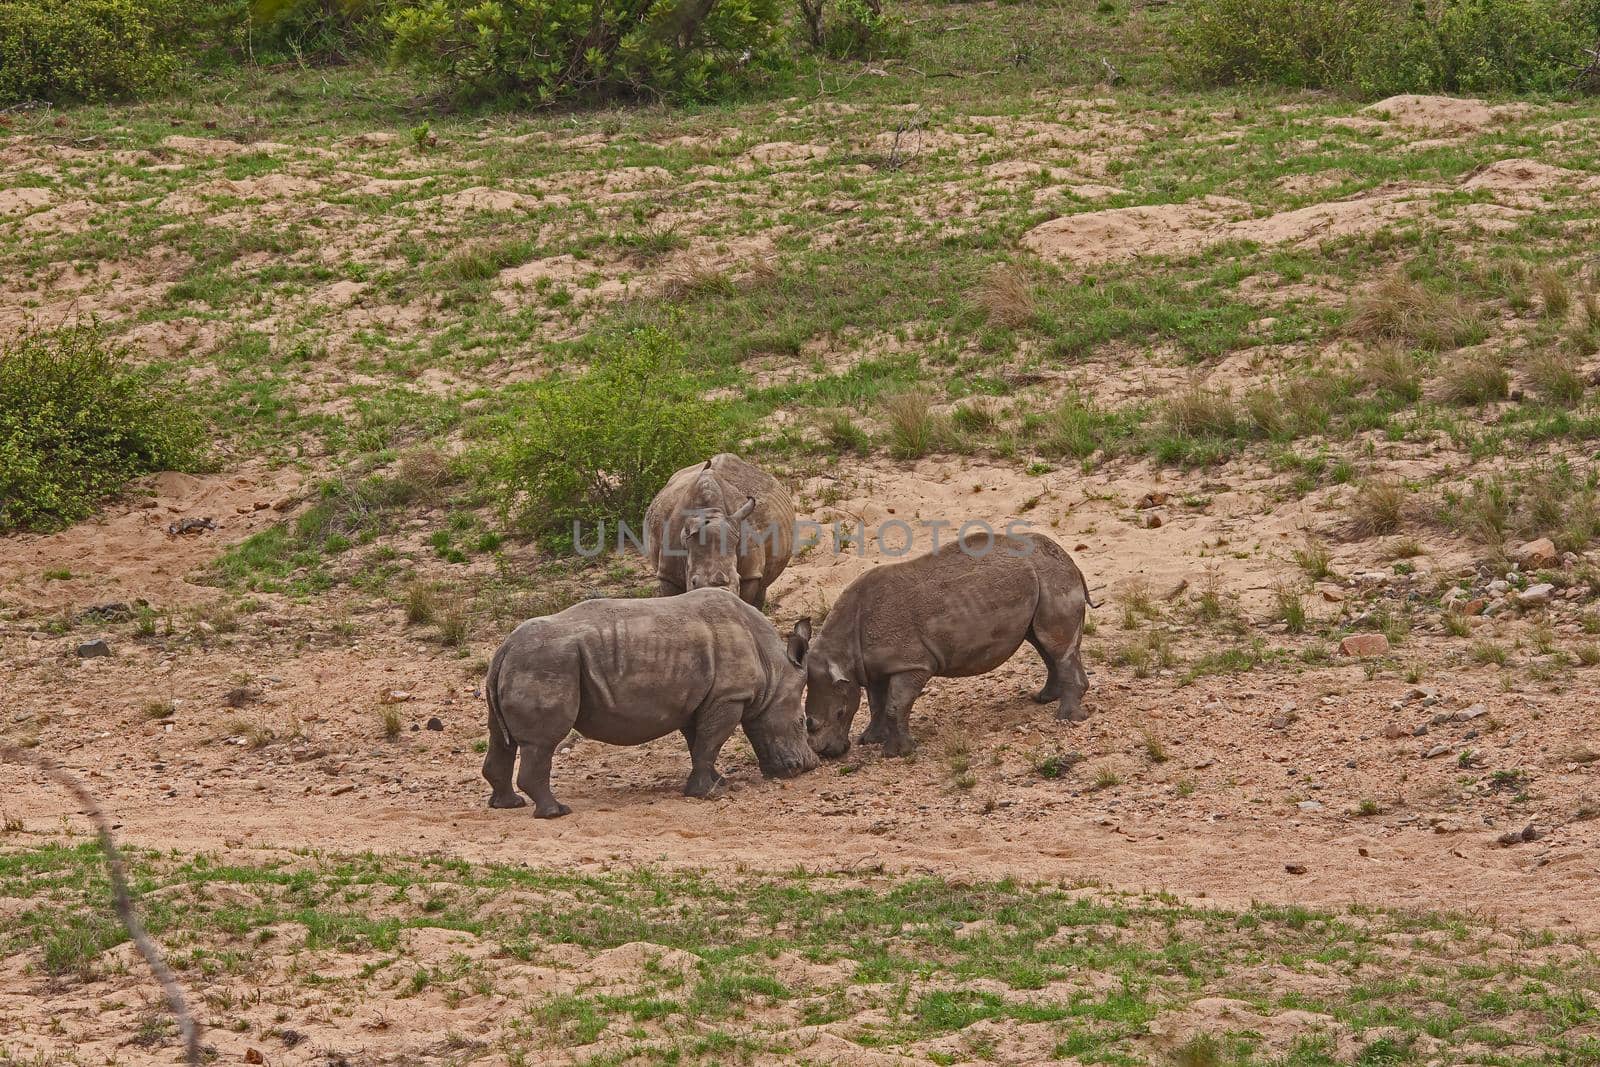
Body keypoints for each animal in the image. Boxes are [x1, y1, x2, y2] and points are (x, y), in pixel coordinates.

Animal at [480, 588, 819, 825]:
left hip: (521, 664)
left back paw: (508, 804)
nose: (808, 766)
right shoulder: (729, 695)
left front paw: (717, 782)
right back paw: (556, 812)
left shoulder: (700, 699)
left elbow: (700, 744)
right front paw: (708, 794)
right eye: (802, 722)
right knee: (542, 743)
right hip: (546, 663)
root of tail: (505, 648)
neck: (774, 668)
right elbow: (710, 742)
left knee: (499, 736)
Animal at [806, 527, 1094, 758]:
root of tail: (1069, 560)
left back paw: (1066, 718)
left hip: (1053, 578)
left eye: (840, 713)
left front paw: (897, 753)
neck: (842, 653)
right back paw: (1044, 698)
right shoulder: (873, 668)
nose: (826, 753)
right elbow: (877, 704)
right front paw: (869, 740)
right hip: (1043, 580)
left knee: (1054, 645)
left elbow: (894, 705)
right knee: (1043, 643)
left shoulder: (912, 664)